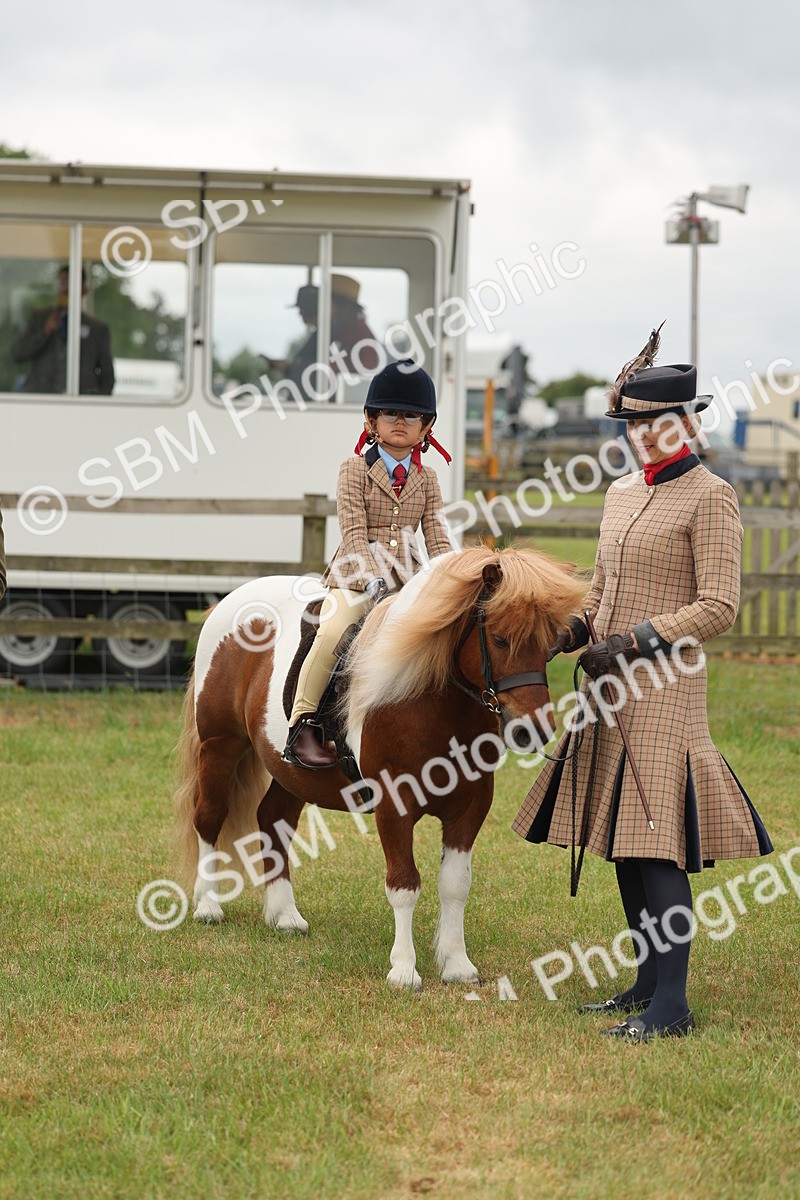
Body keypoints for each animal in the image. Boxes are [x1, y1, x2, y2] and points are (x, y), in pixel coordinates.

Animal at [174, 545, 586, 989]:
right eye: (499, 638)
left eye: (553, 642)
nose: (534, 729)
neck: (431, 700)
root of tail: (233, 600)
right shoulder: (394, 804)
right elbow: (404, 883)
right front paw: (404, 969)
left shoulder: (470, 805)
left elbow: (455, 885)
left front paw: (457, 965)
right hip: (221, 745)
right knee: (209, 817)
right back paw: (208, 906)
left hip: (290, 771)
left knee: (272, 820)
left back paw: (284, 915)